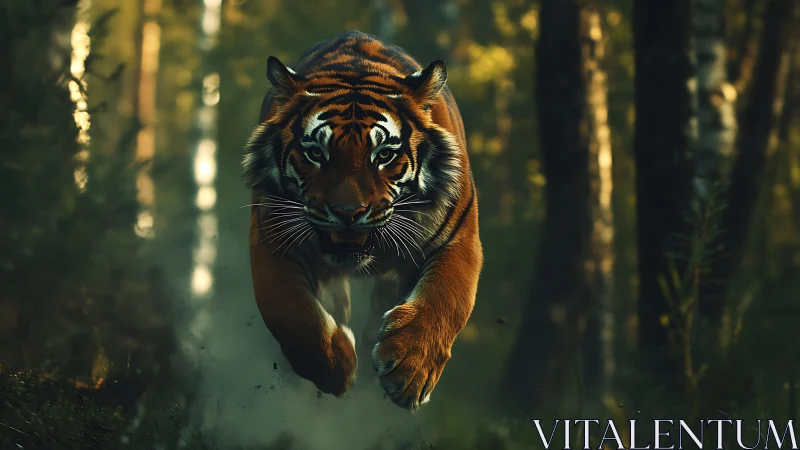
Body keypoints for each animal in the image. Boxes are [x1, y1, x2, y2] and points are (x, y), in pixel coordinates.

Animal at [242, 30, 482, 412]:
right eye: (316, 153)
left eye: (383, 155)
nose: (348, 212)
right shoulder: (273, 240)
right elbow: (290, 313)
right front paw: (337, 367)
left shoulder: (459, 240)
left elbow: (446, 300)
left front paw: (410, 371)